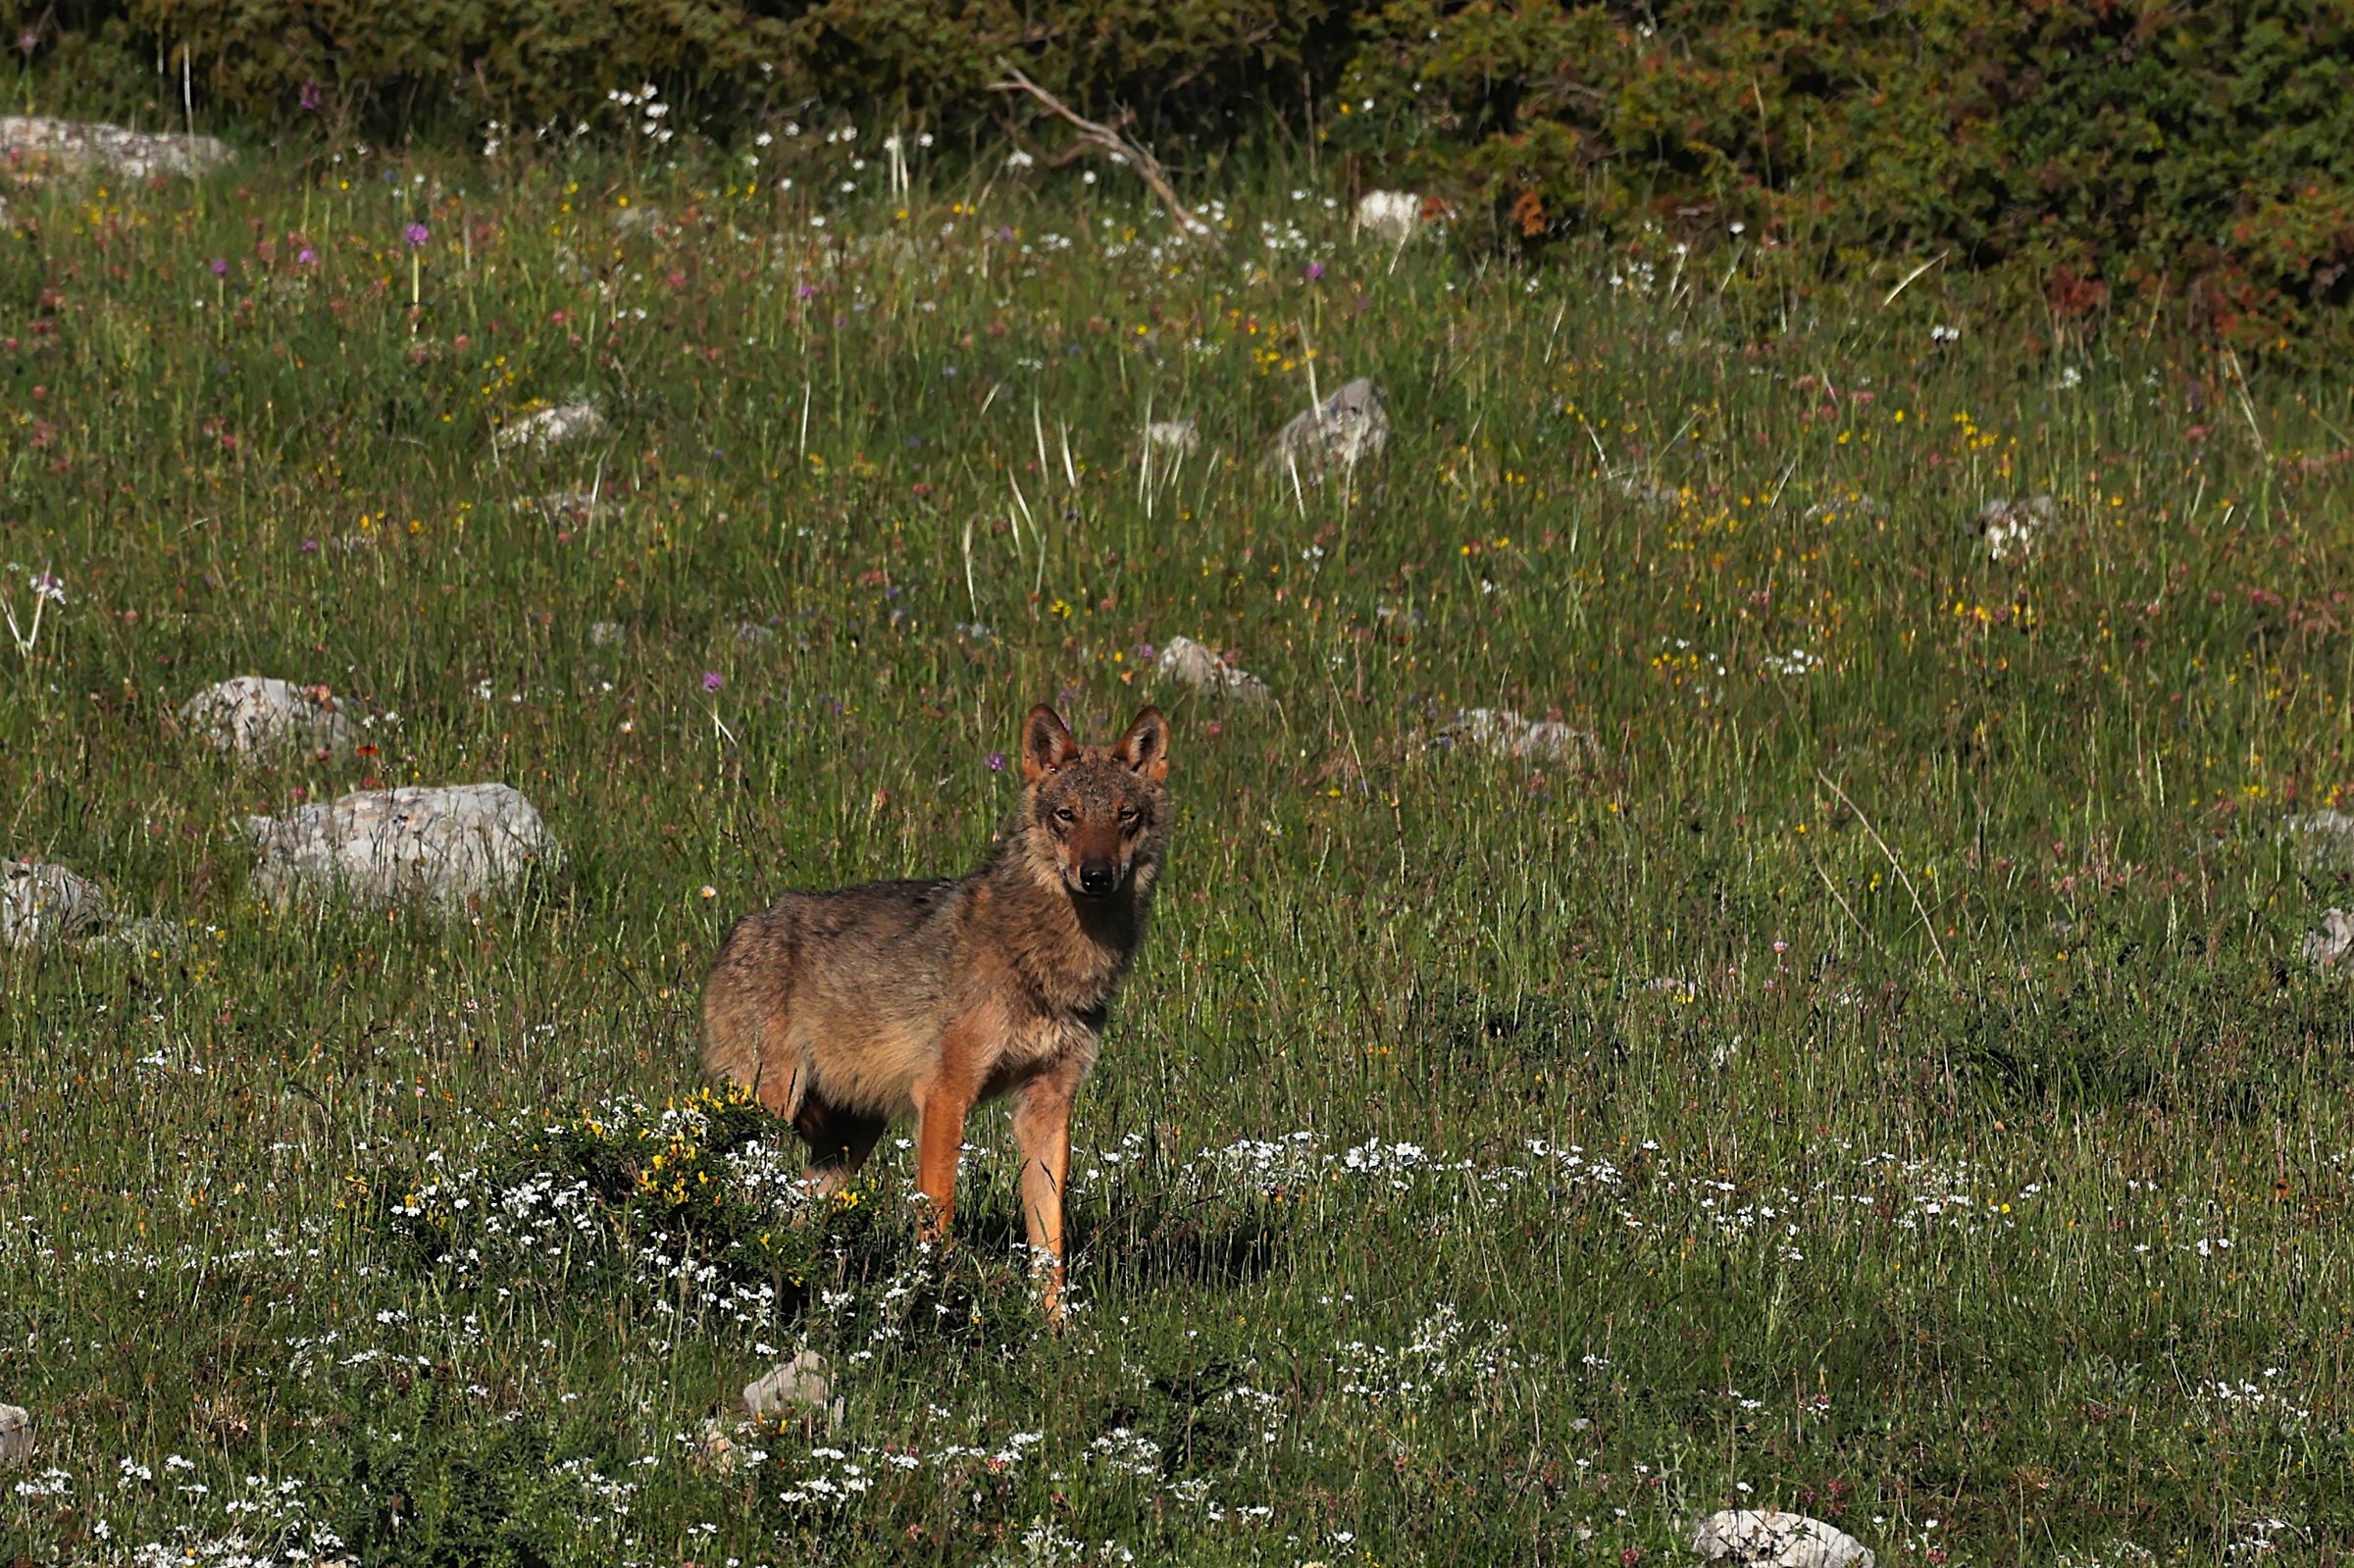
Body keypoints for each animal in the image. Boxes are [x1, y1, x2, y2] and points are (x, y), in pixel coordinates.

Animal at [701, 704, 1171, 1317]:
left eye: (1125, 816)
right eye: (1066, 815)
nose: (1096, 876)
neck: (1048, 957)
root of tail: (739, 932)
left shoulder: (1047, 1104)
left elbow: (1050, 1241)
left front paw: (1053, 1328)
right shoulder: (946, 1095)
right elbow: (938, 1219)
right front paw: (934, 1304)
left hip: (846, 1145)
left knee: (793, 1219)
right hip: (768, 1111)